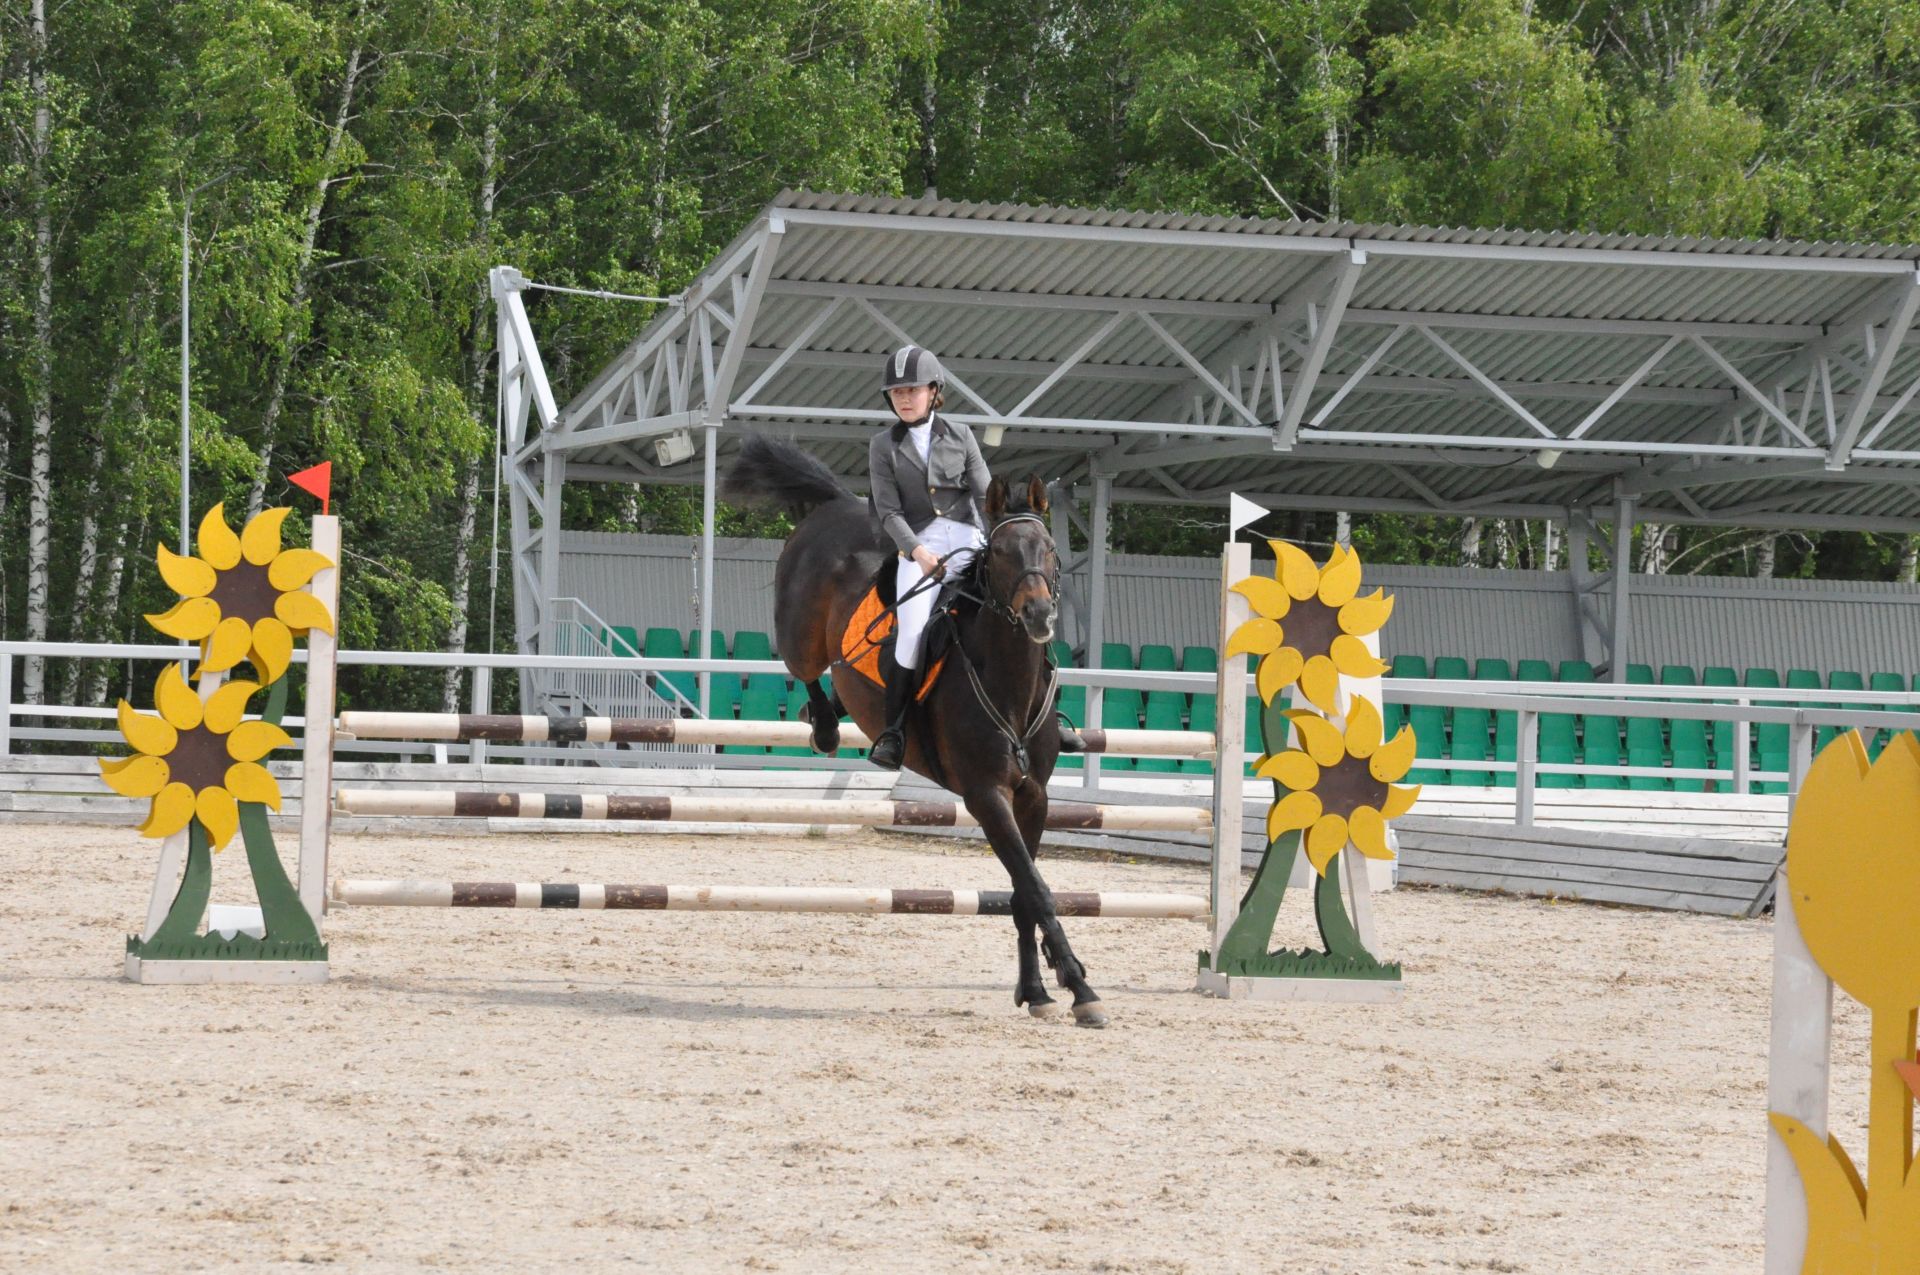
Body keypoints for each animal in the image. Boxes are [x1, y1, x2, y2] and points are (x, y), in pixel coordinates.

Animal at [721, 435, 1113, 1029]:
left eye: (1049, 547)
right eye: (1000, 553)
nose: (1040, 615)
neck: (1009, 681)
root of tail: (842, 502)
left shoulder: (1034, 797)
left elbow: (1024, 893)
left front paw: (1038, 990)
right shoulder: (985, 795)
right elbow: (1037, 890)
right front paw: (1078, 986)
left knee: (841, 680)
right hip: (799, 634)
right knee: (806, 667)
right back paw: (826, 729)